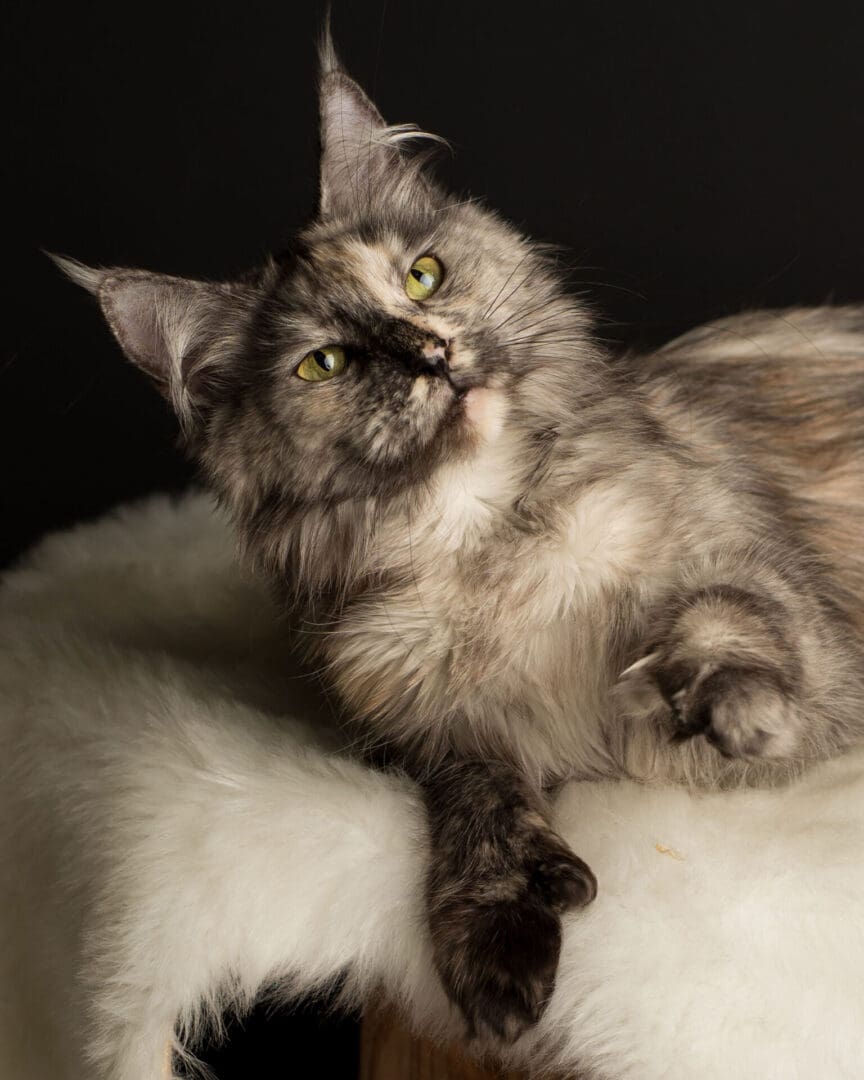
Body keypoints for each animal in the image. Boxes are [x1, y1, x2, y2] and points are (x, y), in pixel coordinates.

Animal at [52, 31, 864, 1045]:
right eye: (327, 363)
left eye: (422, 275)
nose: (431, 354)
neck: (484, 544)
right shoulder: (423, 732)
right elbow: (477, 799)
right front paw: (503, 934)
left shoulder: (808, 645)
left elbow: (728, 615)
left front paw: (714, 694)